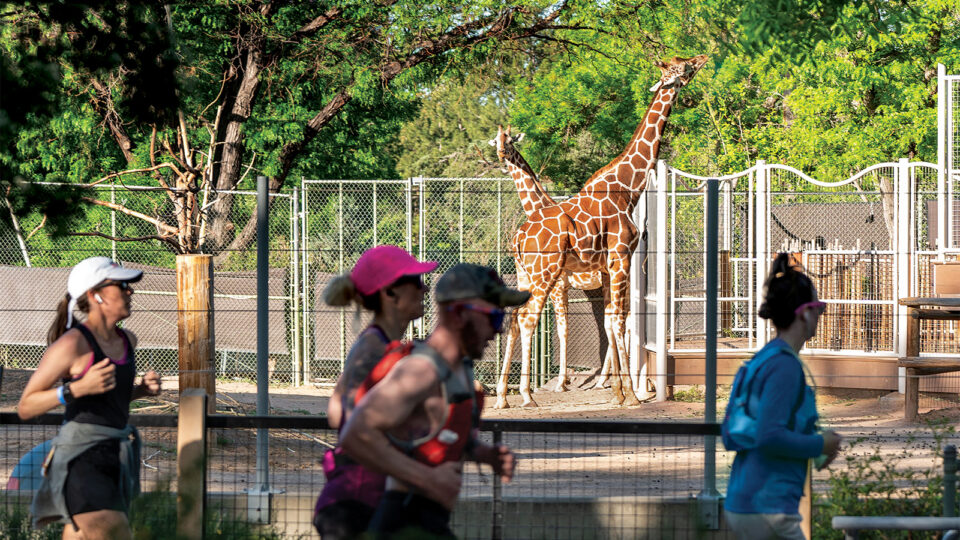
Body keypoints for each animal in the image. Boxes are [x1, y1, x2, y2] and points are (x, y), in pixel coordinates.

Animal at [488, 125, 630, 400]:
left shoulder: (557, 286)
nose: (501, 153)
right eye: (496, 140)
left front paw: (561, 383)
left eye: (510, 140)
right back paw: (607, 381)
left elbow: (562, 330)